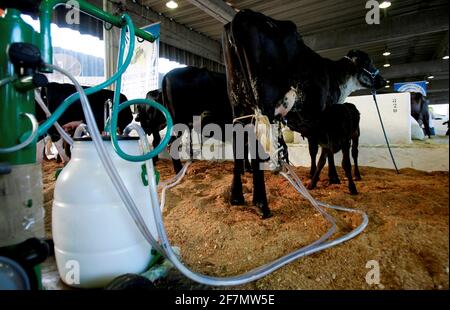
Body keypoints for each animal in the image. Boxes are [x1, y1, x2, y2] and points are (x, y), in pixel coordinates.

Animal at [223, 9, 384, 218]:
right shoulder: (327, 113)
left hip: (239, 108)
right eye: (370, 62)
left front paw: (313, 174)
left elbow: (314, 149)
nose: (382, 80)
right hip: (263, 106)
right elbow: (326, 151)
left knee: (238, 147)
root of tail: (243, 14)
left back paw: (236, 197)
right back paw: (262, 204)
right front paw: (333, 177)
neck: (336, 77)